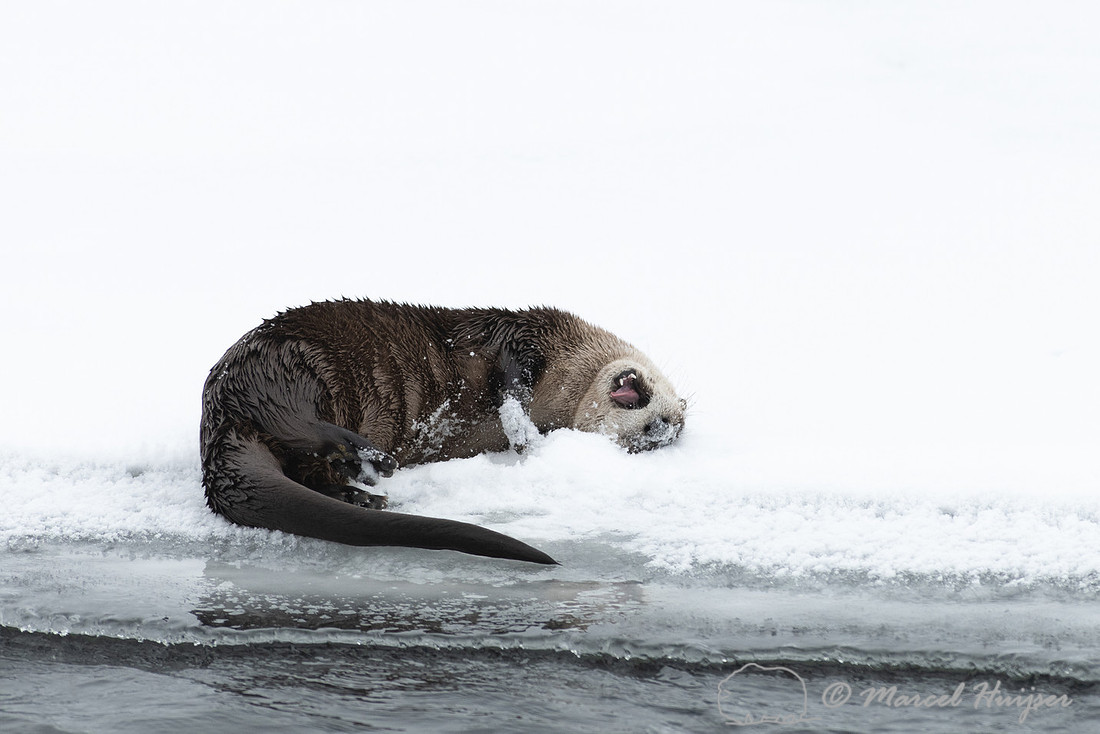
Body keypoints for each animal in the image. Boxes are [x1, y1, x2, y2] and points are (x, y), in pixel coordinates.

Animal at [200, 299, 686, 564]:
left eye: (654, 432)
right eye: (661, 420)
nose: (658, 426)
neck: (568, 371)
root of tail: (220, 407)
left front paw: (526, 438)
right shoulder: (520, 335)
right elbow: (511, 384)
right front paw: (525, 435)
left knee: (308, 461)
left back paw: (362, 488)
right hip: (293, 367)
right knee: (300, 423)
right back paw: (372, 463)